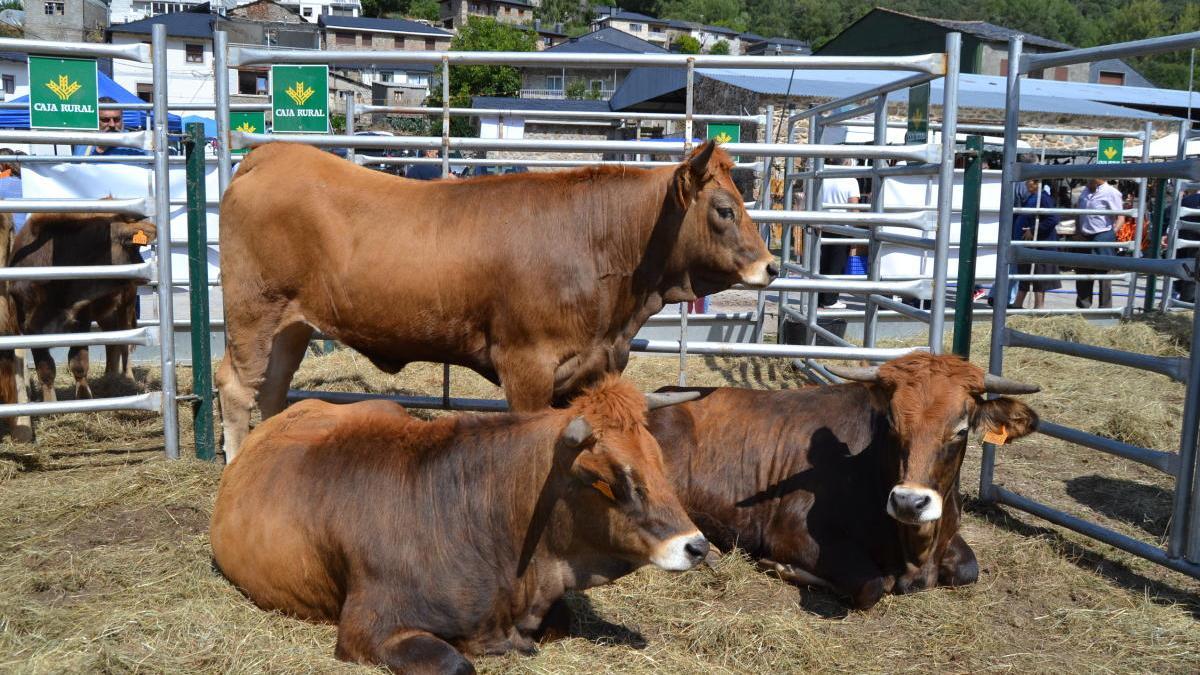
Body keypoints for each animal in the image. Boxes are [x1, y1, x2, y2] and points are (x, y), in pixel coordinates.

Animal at [7, 210, 154, 398]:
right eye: (132, 246)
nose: (145, 269)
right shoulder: (29, 326)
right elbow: (46, 370)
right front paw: (50, 401)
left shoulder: (82, 319)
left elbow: (78, 364)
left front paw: (85, 398)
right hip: (106, 311)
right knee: (112, 337)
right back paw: (110, 376)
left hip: (126, 303)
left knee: (125, 340)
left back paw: (127, 378)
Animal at [217, 139, 777, 458]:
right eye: (724, 208)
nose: (771, 266)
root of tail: (274, 154)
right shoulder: (526, 363)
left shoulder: (592, 362)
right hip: (253, 310)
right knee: (237, 385)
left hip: (292, 324)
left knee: (272, 386)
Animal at [648, 348, 1041, 607]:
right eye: (892, 423)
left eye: (960, 430)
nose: (908, 501)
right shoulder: (790, 532)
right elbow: (872, 585)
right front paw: (783, 567)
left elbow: (968, 568)